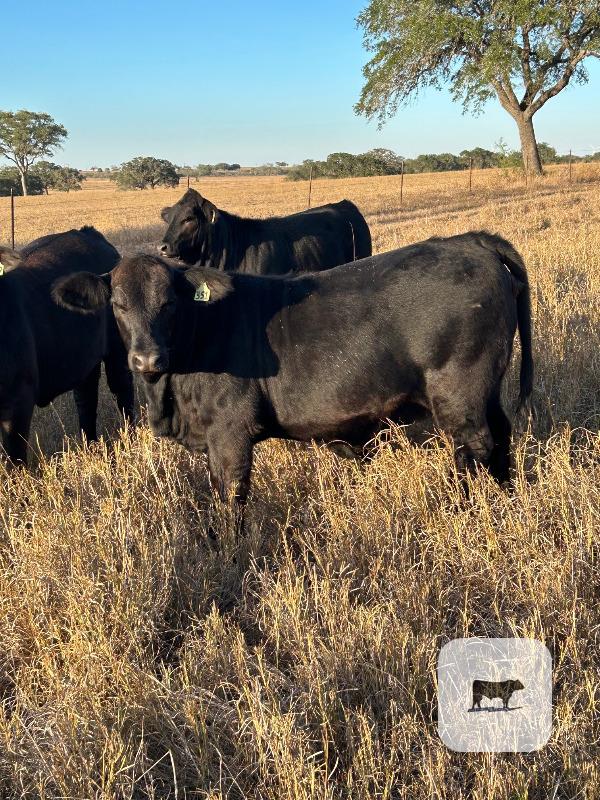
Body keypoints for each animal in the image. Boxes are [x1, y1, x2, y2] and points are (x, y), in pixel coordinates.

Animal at [0, 226, 134, 467]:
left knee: (123, 392)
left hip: (117, 351)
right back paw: (90, 447)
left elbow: (14, 459)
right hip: (84, 361)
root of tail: (86, 232)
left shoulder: (18, 402)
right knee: (86, 401)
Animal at [53, 230, 533, 525]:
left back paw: (461, 510)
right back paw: (510, 498)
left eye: (170, 301)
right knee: (501, 436)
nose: (145, 358)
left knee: (473, 449)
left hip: (459, 391)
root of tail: (469, 242)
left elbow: (231, 499)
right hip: (485, 390)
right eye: (117, 304)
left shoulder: (230, 434)